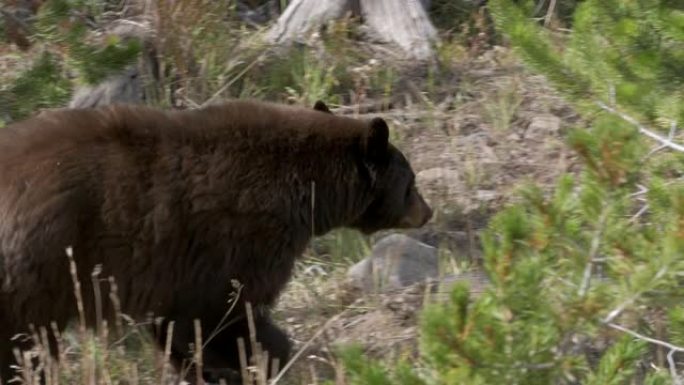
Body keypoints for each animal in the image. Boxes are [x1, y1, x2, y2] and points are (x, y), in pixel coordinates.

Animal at [0, 98, 432, 380]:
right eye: (411, 182)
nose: (428, 211)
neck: (306, 186)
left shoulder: (175, 278)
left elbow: (178, 327)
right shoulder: (240, 240)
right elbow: (226, 315)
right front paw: (264, 361)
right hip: (39, 271)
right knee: (25, 343)